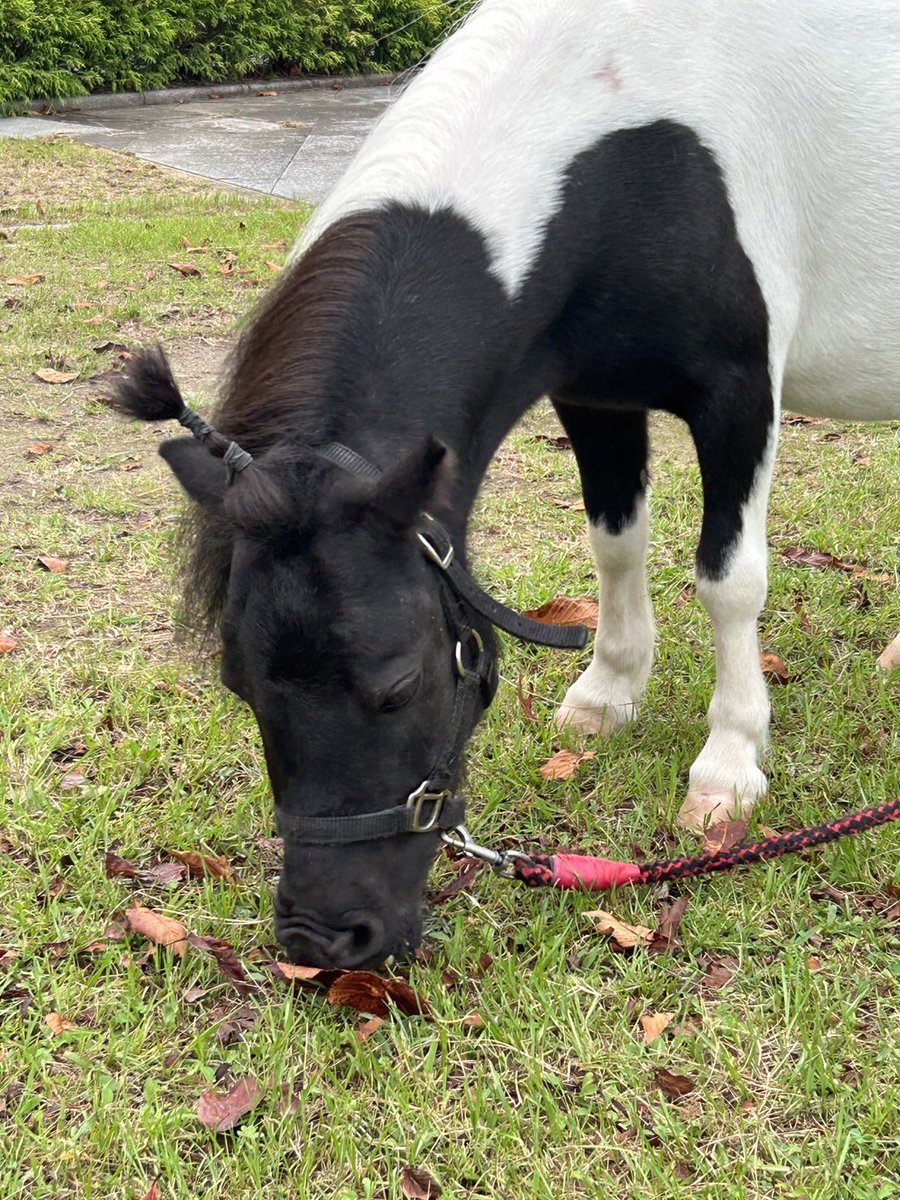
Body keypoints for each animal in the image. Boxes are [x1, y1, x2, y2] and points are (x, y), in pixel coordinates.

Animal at [113, 0, 900, 967]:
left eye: (399, 684)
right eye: (239, 684)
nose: (324, 938)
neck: (636, 143)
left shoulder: (738, 397)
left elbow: (729, 582)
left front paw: (728, 767)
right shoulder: (592, 394)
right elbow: (615, 543)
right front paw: (606, 695)